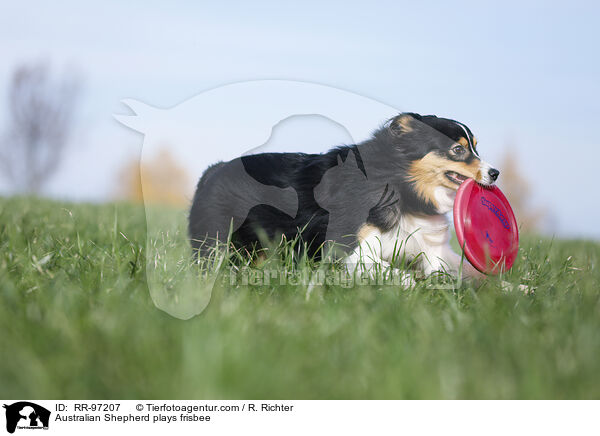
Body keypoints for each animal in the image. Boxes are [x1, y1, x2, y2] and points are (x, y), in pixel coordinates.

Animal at [190, 112, 500, 282]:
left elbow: (470, 272)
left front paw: (509, 288)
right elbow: (398, 273)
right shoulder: (348, 249)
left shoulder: (434, 250)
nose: (495, 173)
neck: (403, 187)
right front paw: (415, 285)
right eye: (458, 150)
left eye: (475, 147)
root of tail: (213, 170)